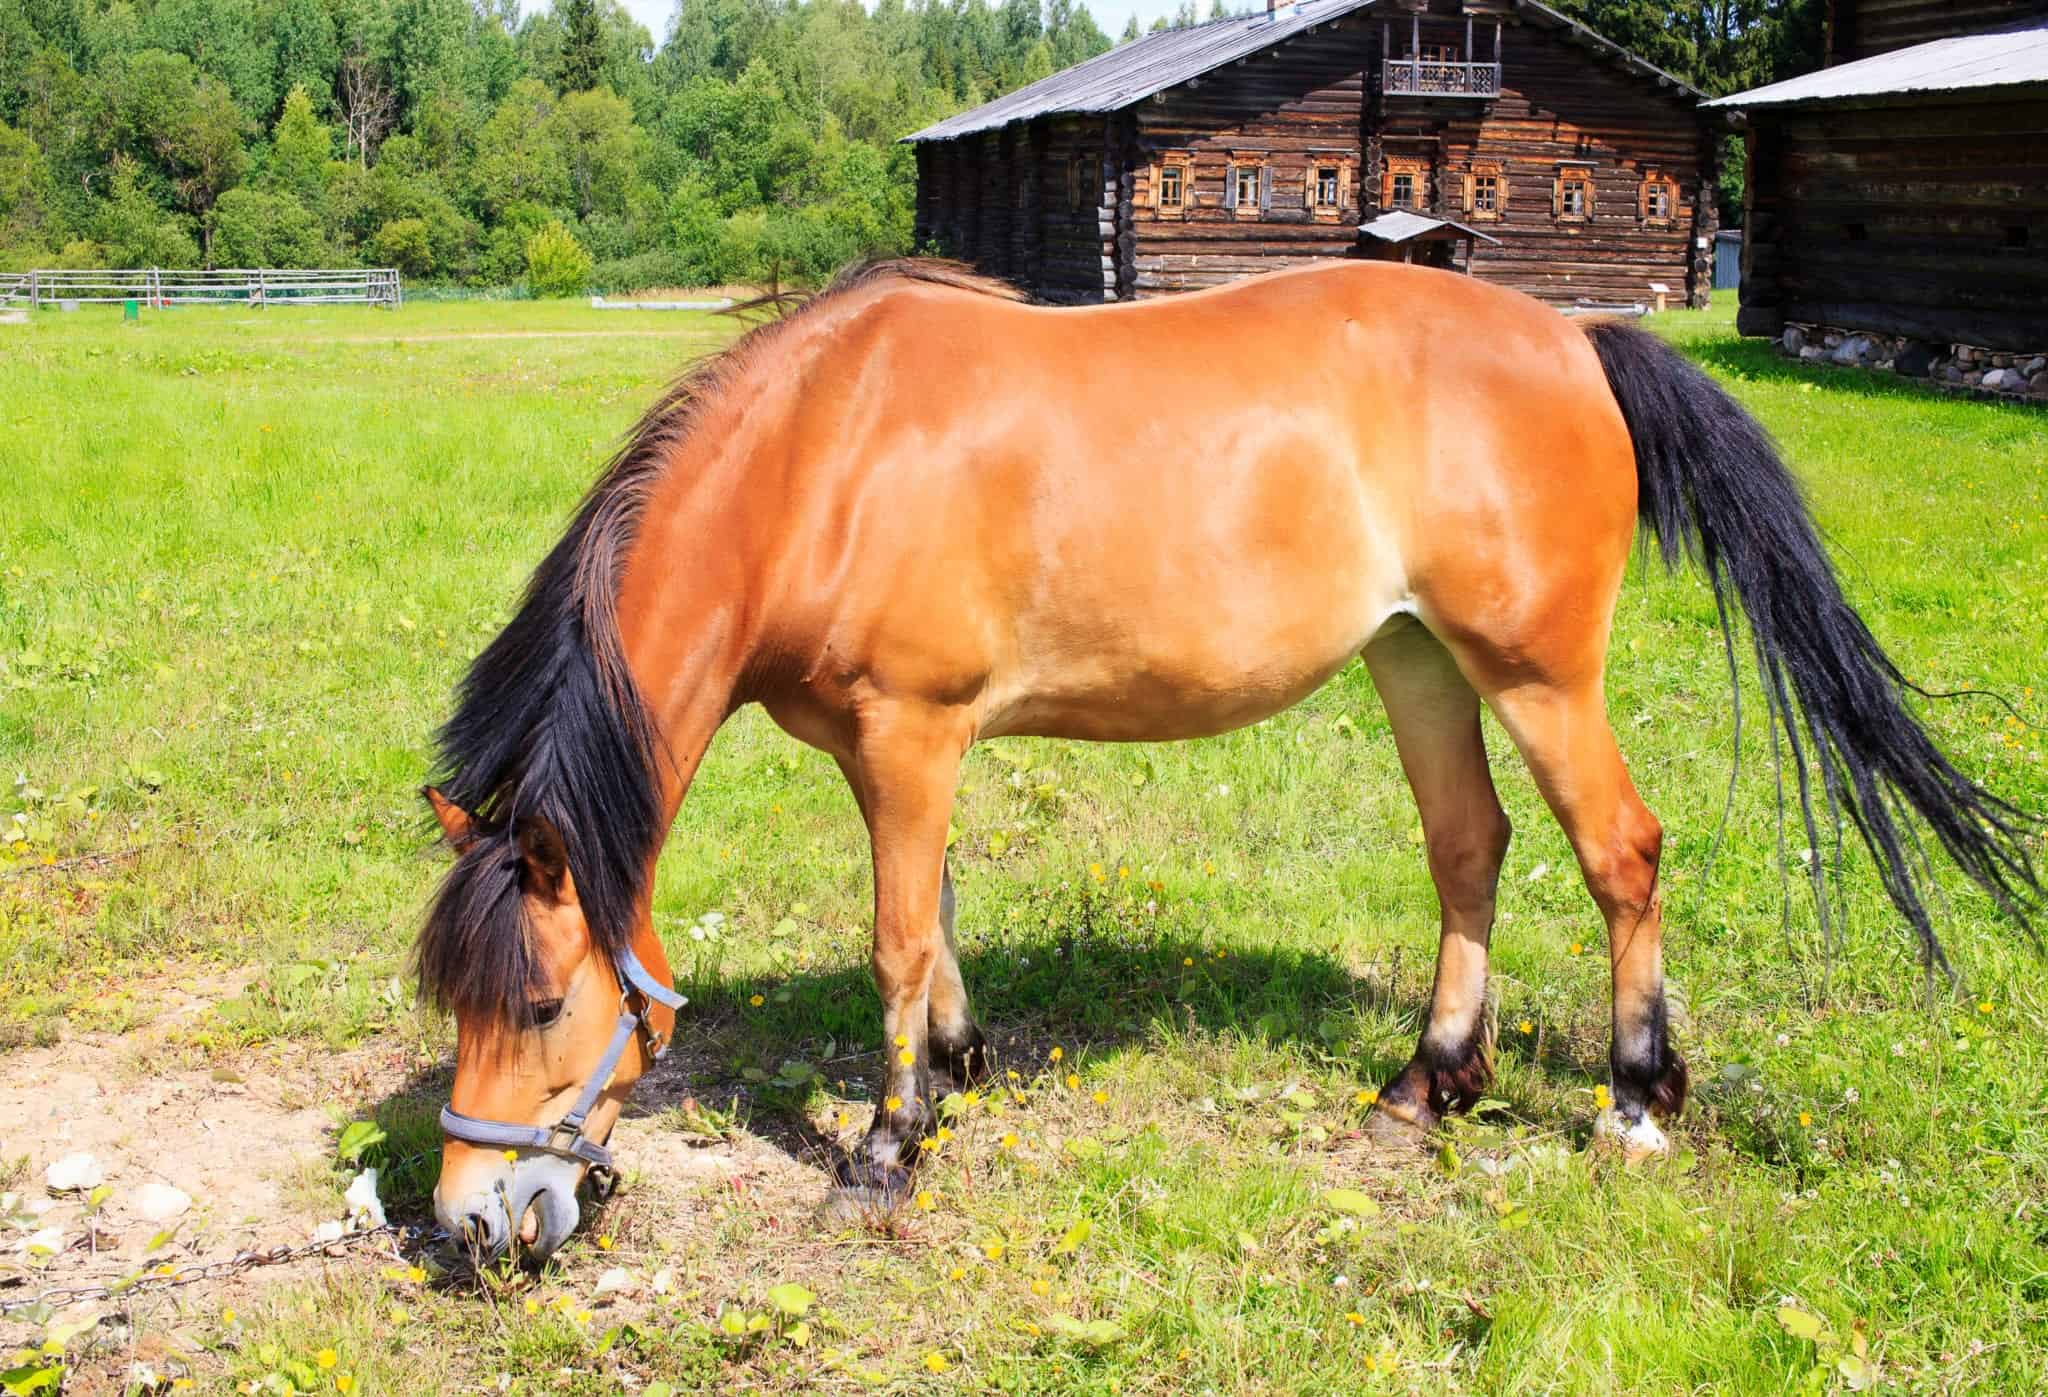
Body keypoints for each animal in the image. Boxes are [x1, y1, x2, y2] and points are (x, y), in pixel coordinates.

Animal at [411, 256, 2031, 1253]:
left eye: (543, 1002)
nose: (469, 1223)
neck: (824, 455)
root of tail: (1574, 337)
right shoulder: (902, 750)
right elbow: (935, 921)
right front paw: (962, 1067)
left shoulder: (909, 734)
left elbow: (893, 933)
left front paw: (886, 1145)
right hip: (1417, 661)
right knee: (1470, 846)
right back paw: (1426, 1082)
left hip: (1535, 673)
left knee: (1617, 850)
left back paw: (1635, 1098)